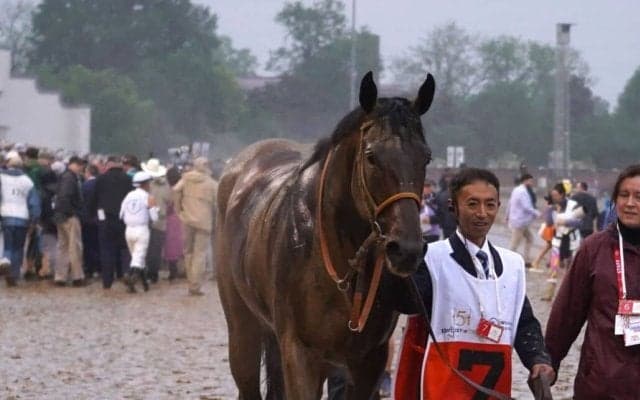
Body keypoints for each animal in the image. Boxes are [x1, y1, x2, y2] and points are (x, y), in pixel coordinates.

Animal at [215, 71, 435, 400]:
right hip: (243, 325)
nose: (406, 249)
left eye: (426, 157)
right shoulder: (300, 352)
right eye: (371, 156)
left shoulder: (370, 358)